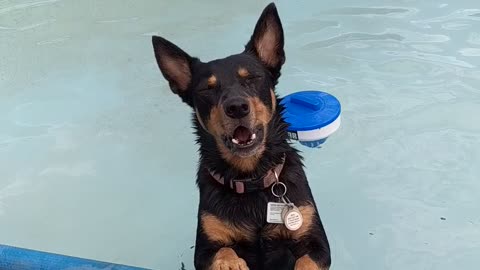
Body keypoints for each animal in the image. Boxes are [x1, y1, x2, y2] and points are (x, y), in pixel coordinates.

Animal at [153, 2, 330, 270]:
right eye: (207, 89)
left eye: (253, 78)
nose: (236, 107)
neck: (250, 179)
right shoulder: (205, 250)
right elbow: (223, 250)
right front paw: (230, 264)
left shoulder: (316, 242)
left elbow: (307, 261)